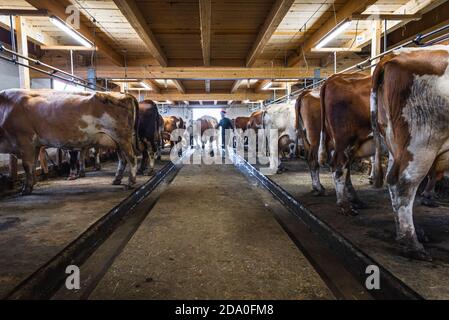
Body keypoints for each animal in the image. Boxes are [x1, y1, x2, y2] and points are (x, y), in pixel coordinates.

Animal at [0, 89, 139, 194]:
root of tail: (123, 93)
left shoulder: (25, 141)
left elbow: (27, 166)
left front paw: (25, 189)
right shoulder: (35, 146)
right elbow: (32, 166)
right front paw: (30, 185)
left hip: (122, 138)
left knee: (132, 159)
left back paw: (130, 183)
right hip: (116, 142)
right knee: (123, 160)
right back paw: (117, 180)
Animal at [316, 74, 382, 216]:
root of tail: (333, 78)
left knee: (344, 169)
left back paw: (355, 201)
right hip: (345, 140)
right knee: (339, 167)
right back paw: (345, 206)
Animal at [370, 45, 448, 260]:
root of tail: (393, 55)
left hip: (395, 141)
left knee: (391, 180)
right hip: (422, 139)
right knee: (404, 183)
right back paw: (411, 243)